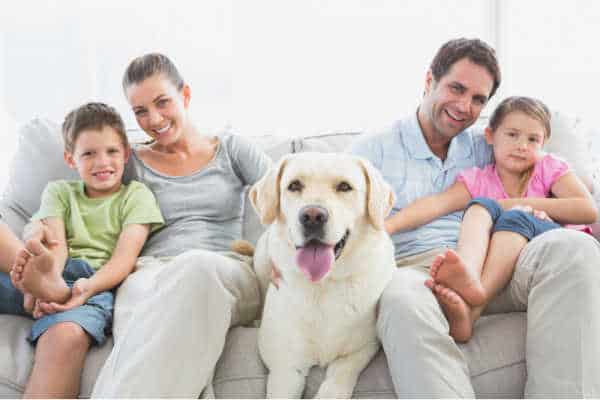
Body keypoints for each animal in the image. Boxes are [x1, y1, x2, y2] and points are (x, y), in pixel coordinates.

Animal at [250, 152, 396, 396]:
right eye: (294, 185)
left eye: (344, 186)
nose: (312, 216)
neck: (323, 285)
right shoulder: (285, 367)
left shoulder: (361, 348)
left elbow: (338, 379)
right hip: (262, 258)